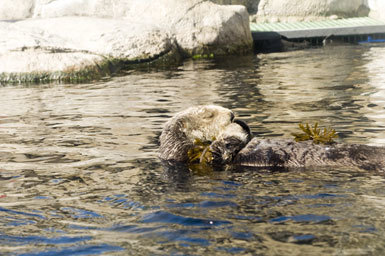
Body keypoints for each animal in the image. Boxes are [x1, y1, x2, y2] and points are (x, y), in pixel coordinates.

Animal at [159, 105, 384, 173]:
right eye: (208, 115)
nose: (232, 114)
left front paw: (243, 124)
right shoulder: (198, 158)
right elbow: (217, 151)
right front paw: (235, 128)